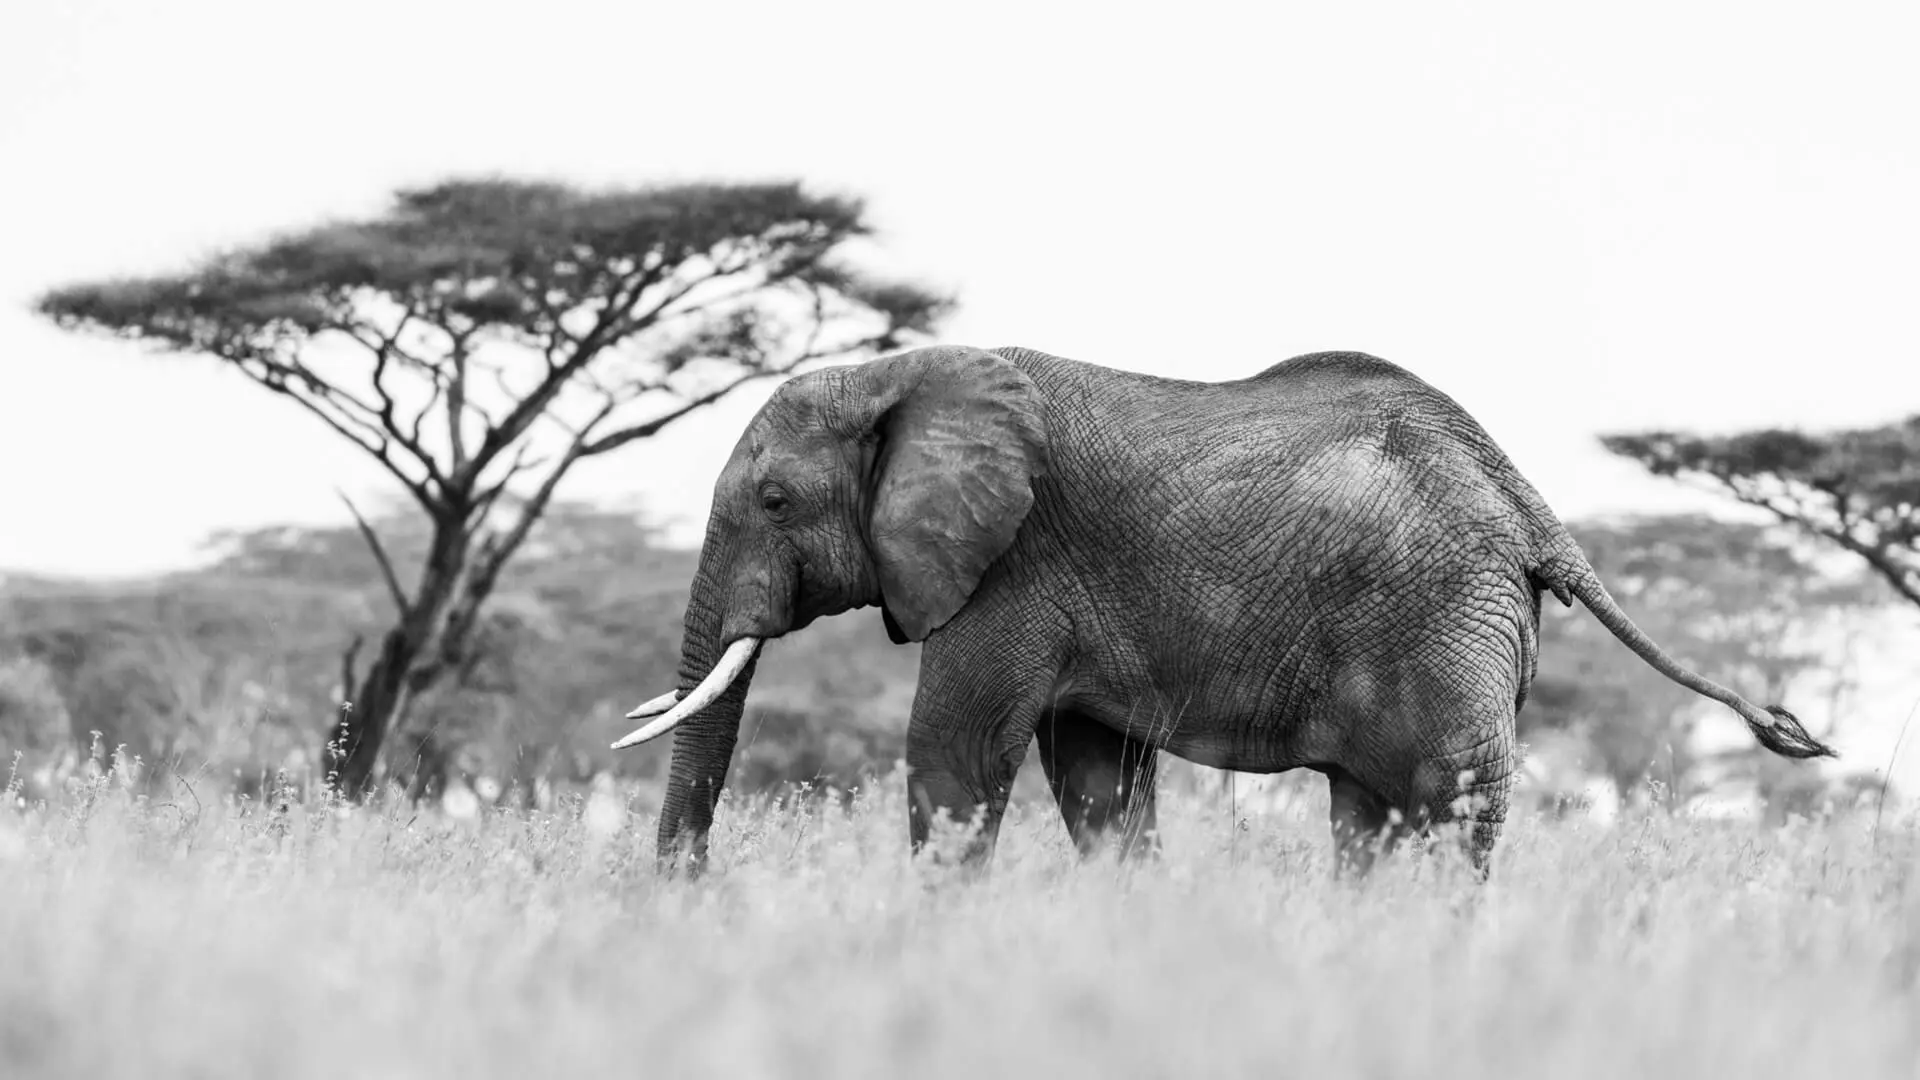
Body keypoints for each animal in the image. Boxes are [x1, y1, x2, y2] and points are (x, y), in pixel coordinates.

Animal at [614, 344, 1834, 877]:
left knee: (1448, 804)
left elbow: (956, 752)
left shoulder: (1012, 567)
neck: (897, 375)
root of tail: (1536, 512)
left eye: (776, 501)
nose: (691, 894)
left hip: (1446, 619)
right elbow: (1096, 777)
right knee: (1370, 815)